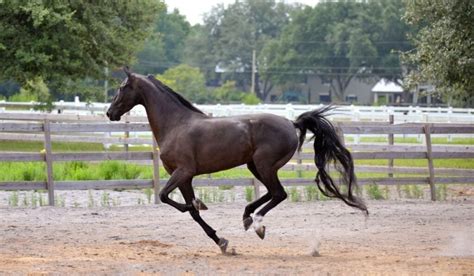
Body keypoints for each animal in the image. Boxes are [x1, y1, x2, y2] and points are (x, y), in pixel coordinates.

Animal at [106, 67, 366, 254]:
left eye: (121, 87)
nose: (110, 113)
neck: (176, 125)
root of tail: (291, 123)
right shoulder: (184, 178)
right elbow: (190, 212)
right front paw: (221, 241)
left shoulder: (183, 172)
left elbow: (166, 197)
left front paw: (200, 205)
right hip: (255, 166)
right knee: (272, 193)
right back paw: (247, 217)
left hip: (264, 165)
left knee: (278, 193)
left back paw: (258, 224)